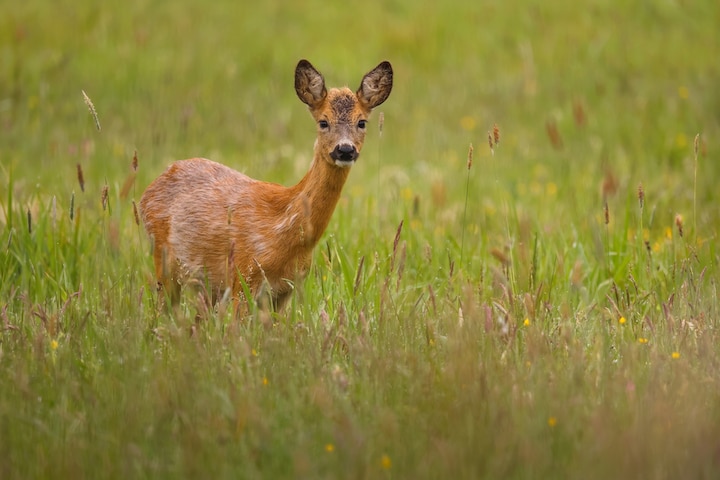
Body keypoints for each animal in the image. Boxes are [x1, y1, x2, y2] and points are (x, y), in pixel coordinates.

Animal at [140, 59, 394, 316]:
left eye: (361, 122)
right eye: (323, 122)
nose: (345, 150)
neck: (283, 231)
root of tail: (148, 190)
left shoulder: (285, 290)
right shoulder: (243, 277)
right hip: (164, 260)